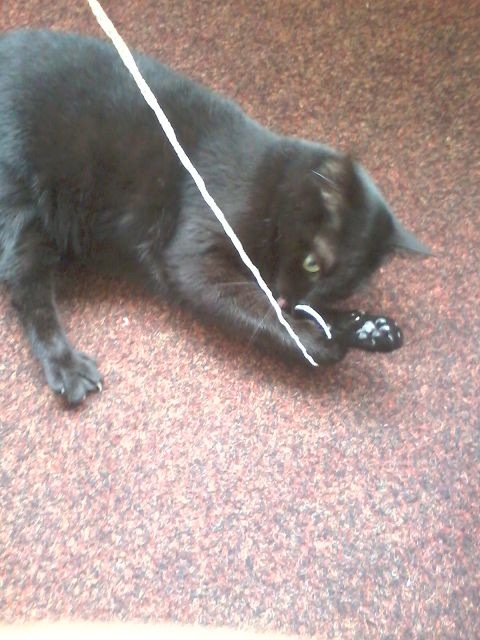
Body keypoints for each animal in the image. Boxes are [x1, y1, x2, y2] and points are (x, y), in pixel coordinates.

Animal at [0, 29, 429, 404]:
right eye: (312, 263)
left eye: (340, 288)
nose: (298, 298)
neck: (270, 182)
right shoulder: (194, 260)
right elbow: (264, 312)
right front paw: (321, 342)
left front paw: (365, 327)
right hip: (25, 211)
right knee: (28, 293)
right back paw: (67, 367)